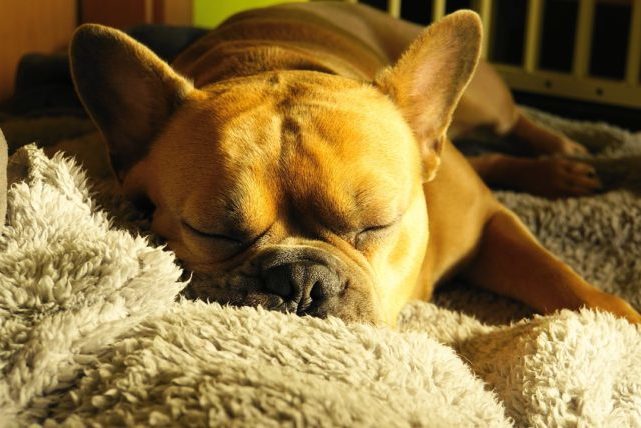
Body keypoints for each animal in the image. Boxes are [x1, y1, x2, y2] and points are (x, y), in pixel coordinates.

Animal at [67, 2, 636, 324]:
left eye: (377, 224)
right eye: (211, 232)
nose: (300, 280)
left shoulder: (489, 221)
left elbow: (554, 272)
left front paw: (617, 315)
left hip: (484, 105)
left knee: (513, 122)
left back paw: (564, 155)